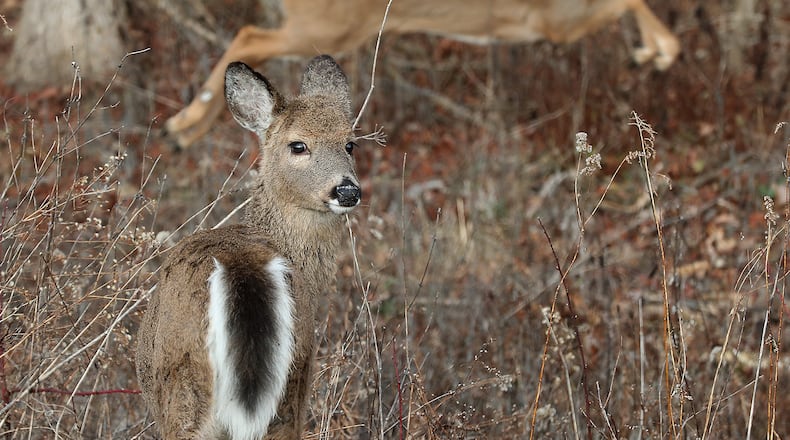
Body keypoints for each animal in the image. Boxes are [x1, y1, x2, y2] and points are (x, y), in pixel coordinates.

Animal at [136, 55, 362, 439]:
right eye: (298, 145)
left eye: (349, 144)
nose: (347, 190)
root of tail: (244, 269)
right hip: (290, 373)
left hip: (186, 385)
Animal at [164, 0, 681, 148]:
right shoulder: (559, 19)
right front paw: (656, 52)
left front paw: (651, 52)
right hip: (328, 26)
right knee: (250, 35)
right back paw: (184, 126)